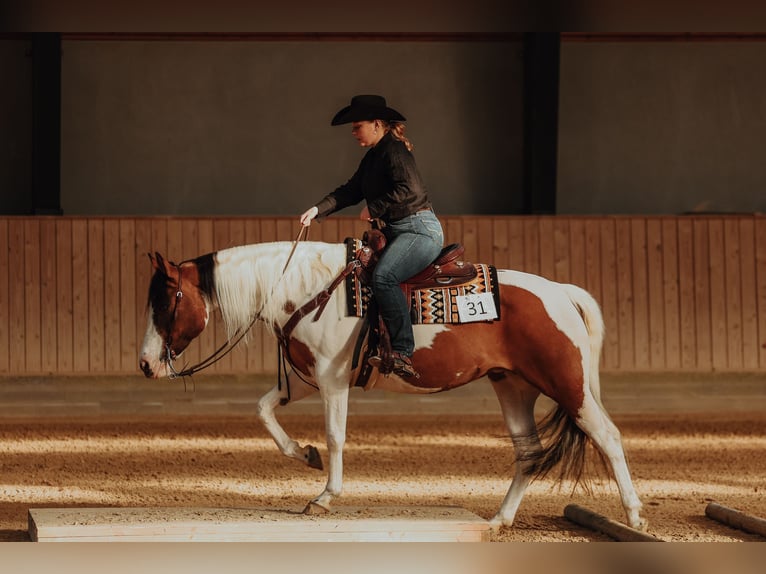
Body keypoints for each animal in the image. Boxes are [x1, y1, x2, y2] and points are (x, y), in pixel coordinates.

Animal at [139, 239, 646, 532]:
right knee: (528, 453)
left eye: (168, 301)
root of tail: (561, 292)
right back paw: (499, 520)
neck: (307, 289)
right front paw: (305, 454)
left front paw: (324, 497)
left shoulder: (333, 381)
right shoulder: (310, 378)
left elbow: (336, 437)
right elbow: (263, 410)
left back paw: (635, 516)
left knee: (608, 436)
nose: (145, 364)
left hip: (569, 385)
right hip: (514, 387)